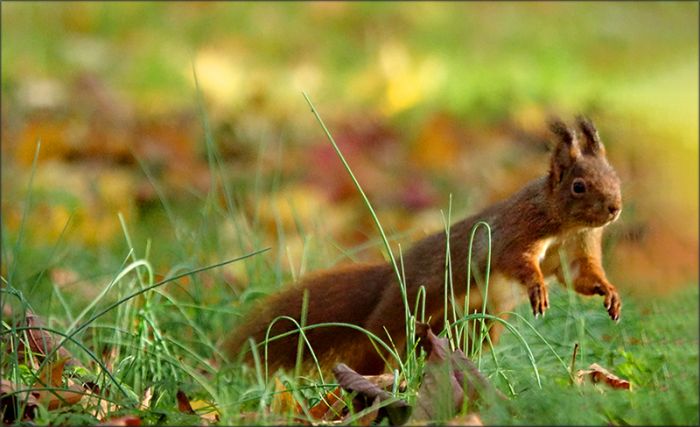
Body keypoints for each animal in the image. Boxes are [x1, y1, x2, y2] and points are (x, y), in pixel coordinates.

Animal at [226, 116, 623, 375]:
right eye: (579, 186)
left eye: (615, 177)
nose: (615, 208)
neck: (565, 226)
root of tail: (390, 274)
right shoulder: (516, 229)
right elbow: (518, 261)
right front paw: (537, 287)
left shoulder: (577, 249)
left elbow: (579, 275)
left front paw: (609, 292)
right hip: (399, 312)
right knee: (376, 347)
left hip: (471, 322)